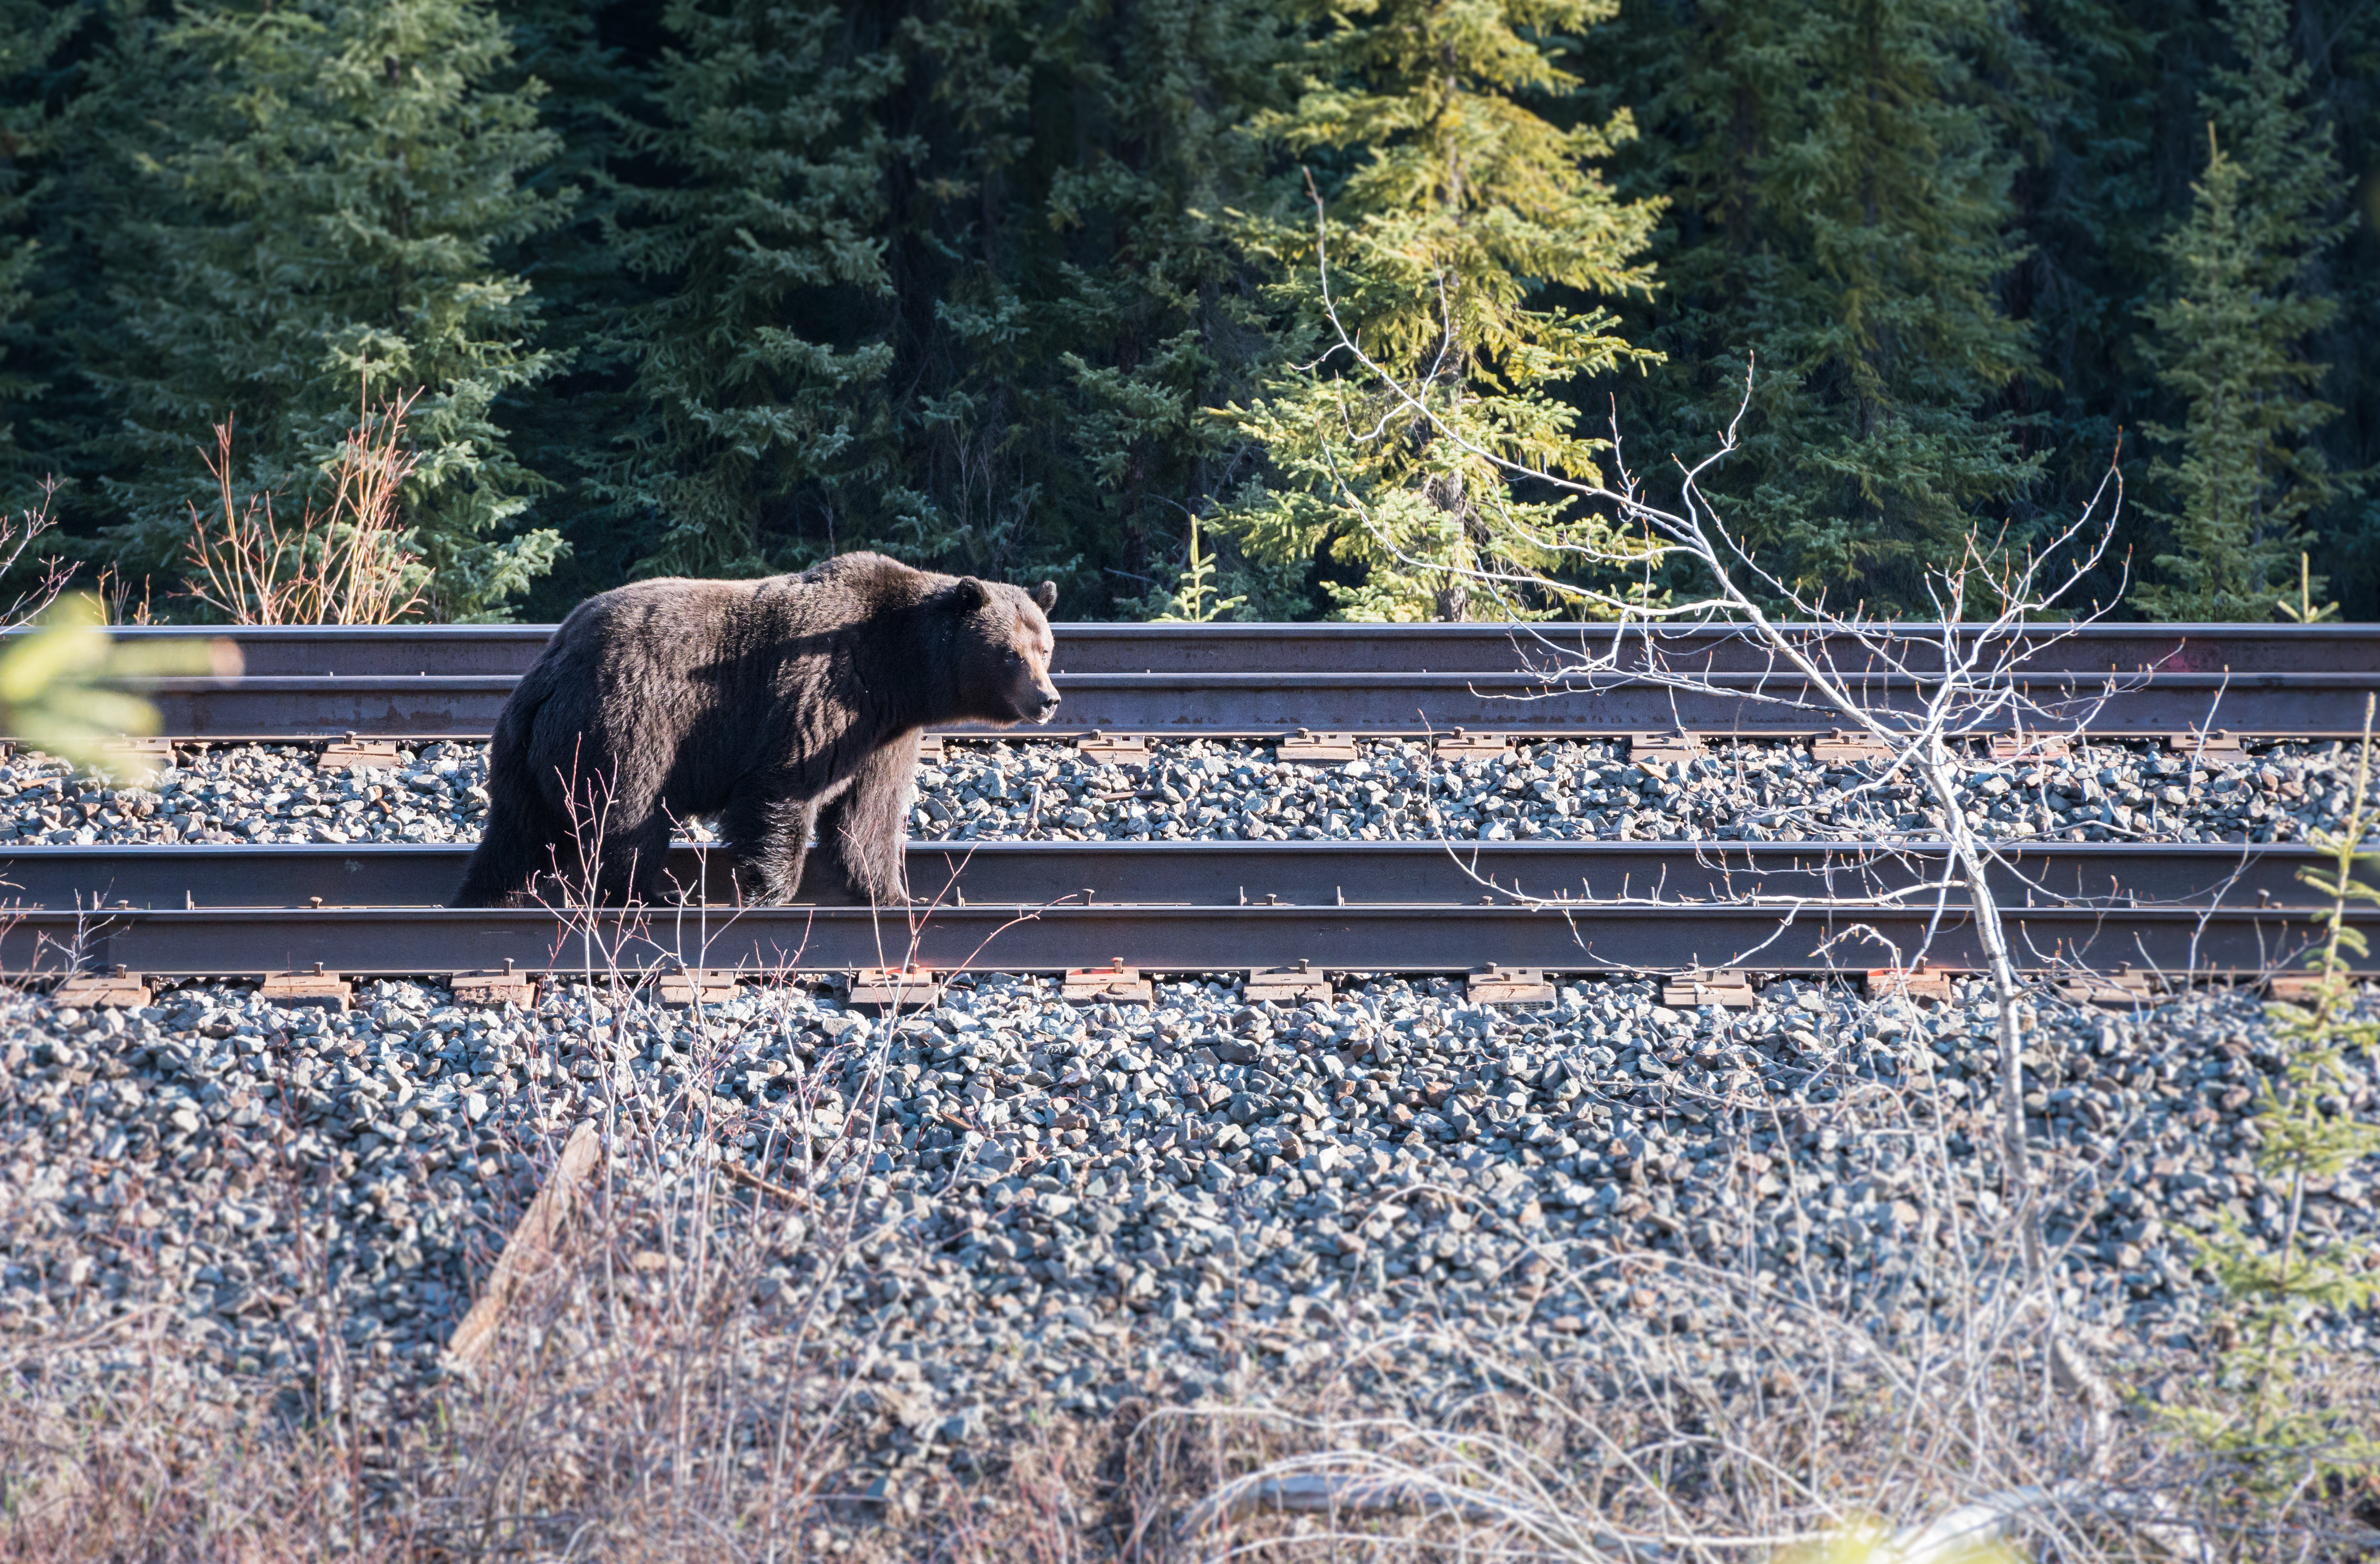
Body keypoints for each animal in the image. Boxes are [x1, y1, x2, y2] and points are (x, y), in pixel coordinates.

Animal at [452, 554, 1061, 909]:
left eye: (1046, 648)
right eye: (1010, 654)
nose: (1048, 699)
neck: (900, 668)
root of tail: (549, 667)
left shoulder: (884, 731)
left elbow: (870, 811)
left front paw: (889, 892)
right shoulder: (824, 692)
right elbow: (783, 790)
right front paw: (770, 890)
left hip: (525, 746)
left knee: (517, 829)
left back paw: (486, 894)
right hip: (624, 726)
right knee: (625, 815)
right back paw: (649, 894)